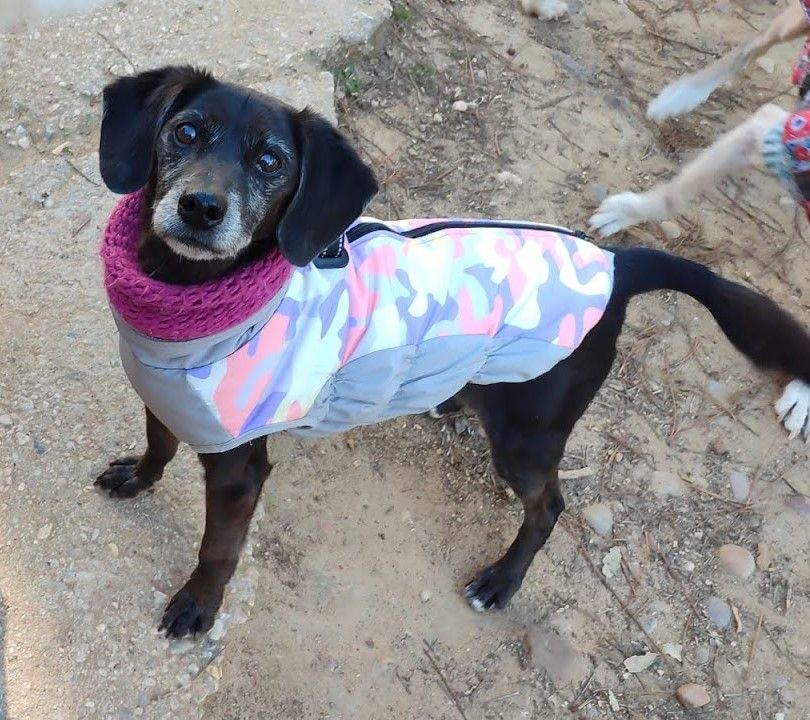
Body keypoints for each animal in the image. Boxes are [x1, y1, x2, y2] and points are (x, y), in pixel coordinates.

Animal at [95, 67, 810, 638]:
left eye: (270, 162)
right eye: (186, 131)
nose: (201, 206)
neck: (188, 304)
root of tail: (618, 262)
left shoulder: (238, 471)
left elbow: (217, 550)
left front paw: (198, 606)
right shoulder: (166, 399)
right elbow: (158, 446)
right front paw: (139, 477)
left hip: (527, 439)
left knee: (549, 508)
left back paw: (501, 581)